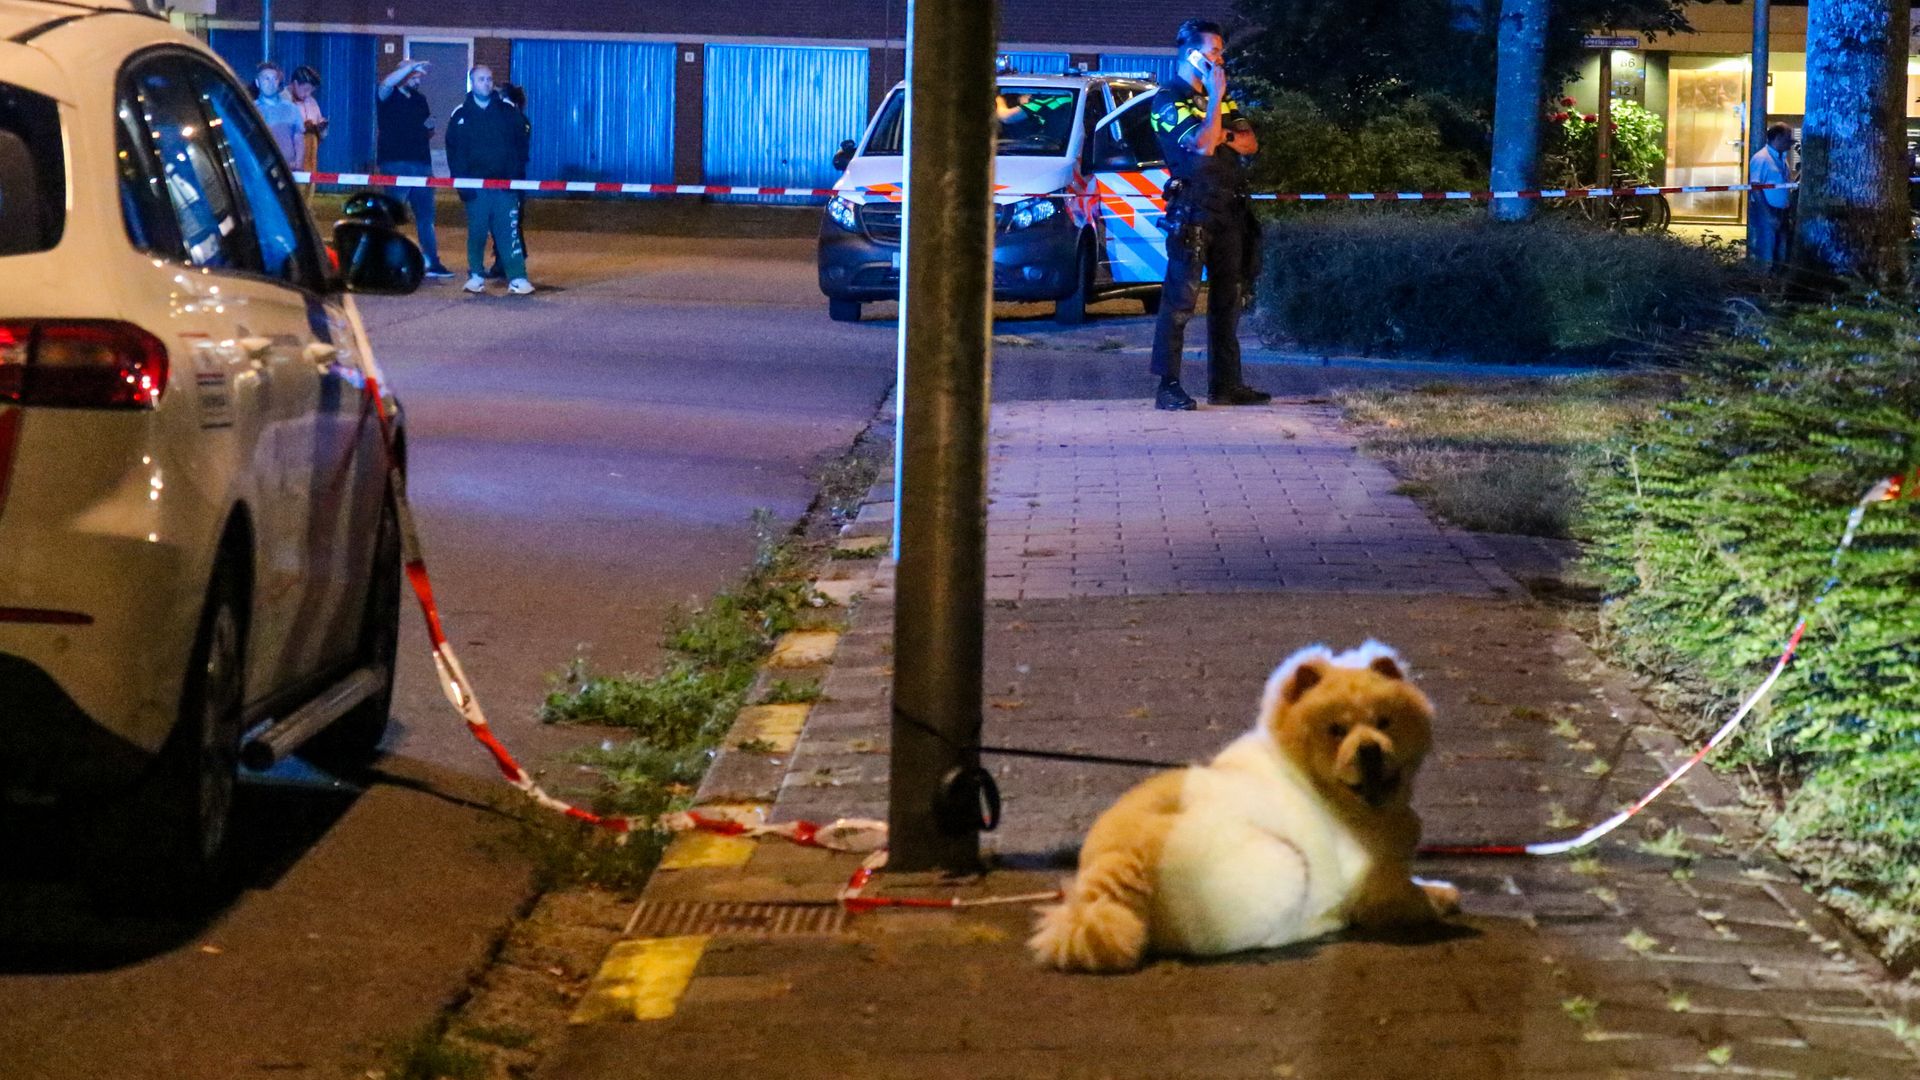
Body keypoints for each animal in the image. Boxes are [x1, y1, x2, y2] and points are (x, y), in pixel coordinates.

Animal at [1036, 638, 1451, 968]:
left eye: (1384, 722)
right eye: (1337, 730)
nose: (1369, 749)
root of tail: (1121, 858)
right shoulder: (1373, 884)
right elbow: (1410, 896)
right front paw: (1440, 897)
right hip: (1285, 861)